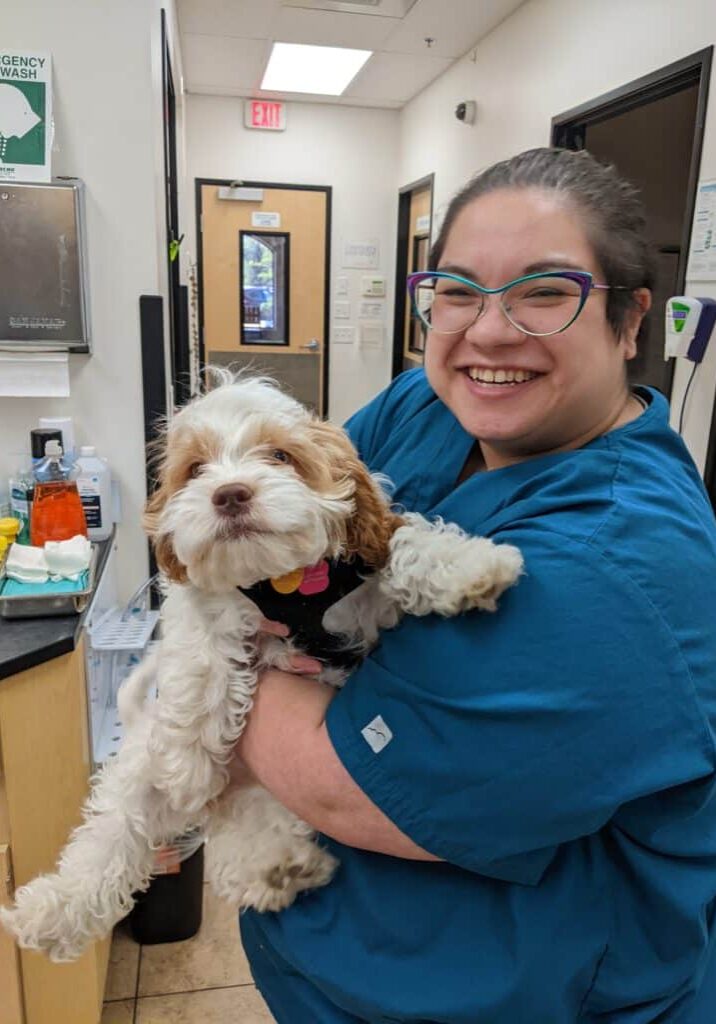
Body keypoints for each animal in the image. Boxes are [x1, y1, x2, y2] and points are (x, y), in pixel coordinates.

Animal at [1, 372, 528, 962]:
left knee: (242, 827)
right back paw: (49, 913)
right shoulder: (202, 602)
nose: (230, 493)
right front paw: (188, 763)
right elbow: (200, 659)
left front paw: (474, 566)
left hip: (262, 790)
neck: (282, 583)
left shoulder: (361, 582)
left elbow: (404, 546)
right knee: (109, 841)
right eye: (196, 469)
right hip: (137, 781)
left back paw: (276, 868)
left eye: (280, 455)